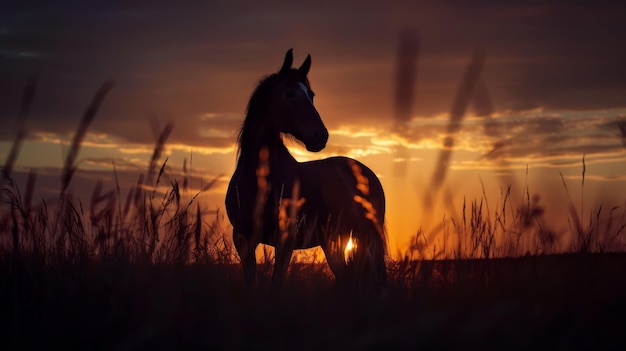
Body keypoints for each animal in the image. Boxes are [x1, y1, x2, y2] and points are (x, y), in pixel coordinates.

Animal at [224, 49, 386, 292]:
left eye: (311, 94)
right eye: (290, 93)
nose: (320, 135)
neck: (259, 180)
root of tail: (366, 173)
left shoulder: (285, 240)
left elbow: (276, 283)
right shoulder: (243, 240)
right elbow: (250, 282)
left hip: (369, 237)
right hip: (334, 241)